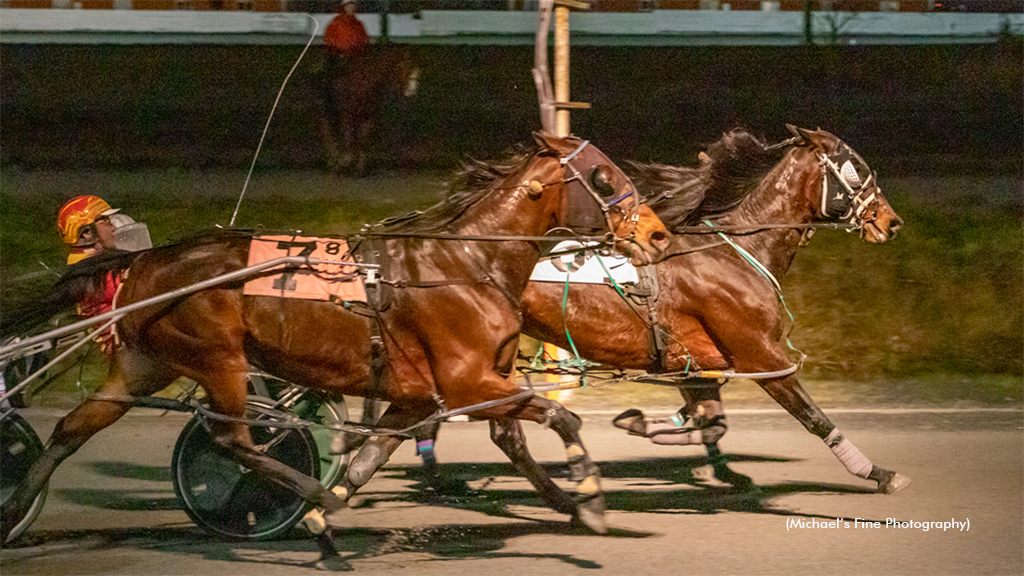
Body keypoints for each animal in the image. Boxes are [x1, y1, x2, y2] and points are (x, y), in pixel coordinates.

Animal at [0, 132, 671, 545]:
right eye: (604, 177)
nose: (659, 235)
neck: (466, 264)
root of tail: (143, 261)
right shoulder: (467, 381)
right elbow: (562, 420)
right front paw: (591, 493)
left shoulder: (421, 394)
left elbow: (382, 454)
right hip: (219, 358)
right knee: (233, 440)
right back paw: (304, 484)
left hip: (143, 365)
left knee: (71, 430)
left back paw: (12, 512)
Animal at [524, 125, 909, 494]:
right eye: (856, 168)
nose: (891, 222)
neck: (736, 252)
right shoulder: (761, 357)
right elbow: (812, 417)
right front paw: (879, 473)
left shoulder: (694, 363)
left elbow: (712, 422)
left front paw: (654, 428)